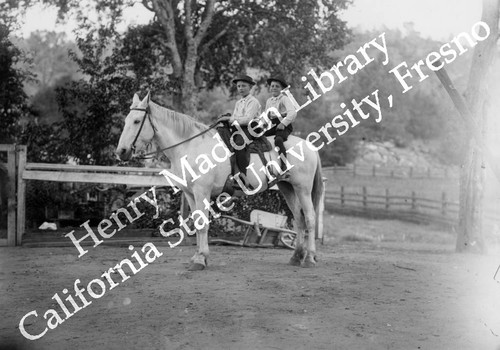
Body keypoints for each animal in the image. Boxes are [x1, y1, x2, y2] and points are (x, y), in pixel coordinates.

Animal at [115, 93, 322, 270]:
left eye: (136, 121)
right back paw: (296, 256)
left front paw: (200, 259)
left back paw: (310, 258)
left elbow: (202, 223)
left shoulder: (202, 192)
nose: (121, 152)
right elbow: (196, 224)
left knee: (309, 218)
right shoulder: (190, 194)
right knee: (299, 219)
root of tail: (309, 146)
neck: (190, 146)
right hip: (287, 187)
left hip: (302, 188)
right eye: (126, 120)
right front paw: (198, 256)